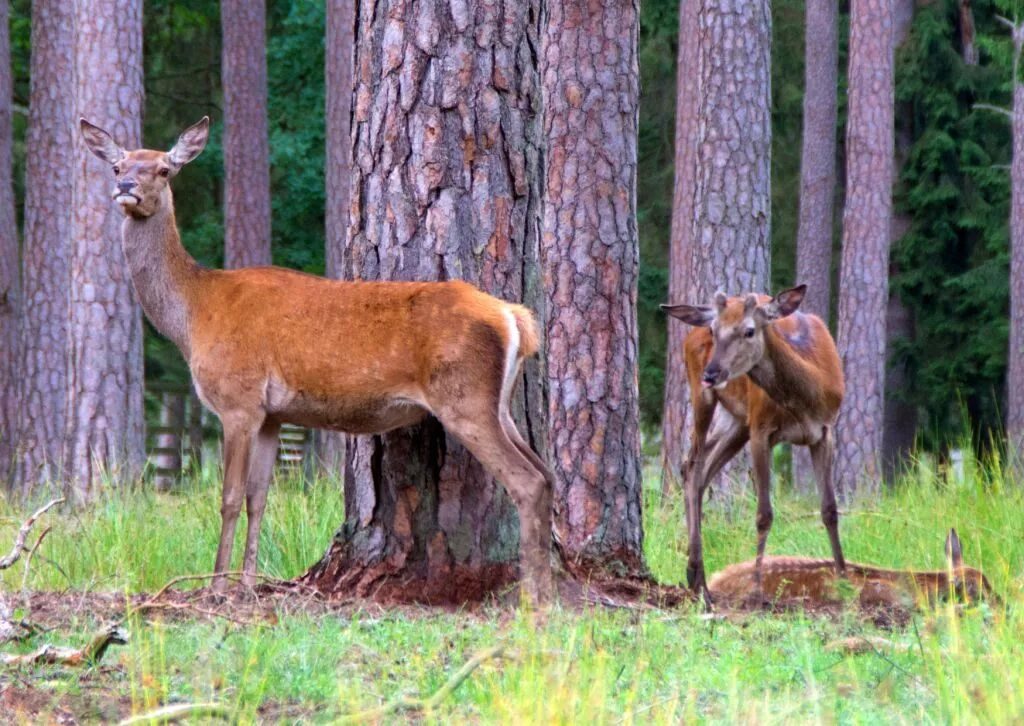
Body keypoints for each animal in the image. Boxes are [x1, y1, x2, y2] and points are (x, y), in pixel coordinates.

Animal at [81, 118, 561, 602]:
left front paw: (217, 586)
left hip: (465, 397)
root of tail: (513, 316)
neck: (194, 314)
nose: (125, 187)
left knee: (527, 481)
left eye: (164, 169)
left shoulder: (238, 400)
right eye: (119, 165)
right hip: (498, 405)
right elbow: (259, 498)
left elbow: (230, 497)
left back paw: (533, 596)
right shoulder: (272, 414)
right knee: (547, 474)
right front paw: (248, 583)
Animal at [659, 286, 843, 602]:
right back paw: (698, 576)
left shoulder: (826, 430)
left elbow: (830, 509)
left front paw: (845, 580)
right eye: (714, 330)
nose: (712, 373)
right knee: (692, 465)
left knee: (701, 470)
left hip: (736, 421)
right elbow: (764, 514)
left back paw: (697, 575)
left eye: (749, 330)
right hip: (704, 398)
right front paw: (757, 588)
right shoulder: (761, 428)